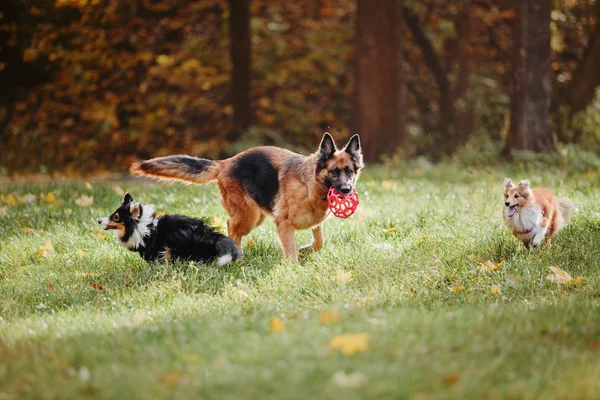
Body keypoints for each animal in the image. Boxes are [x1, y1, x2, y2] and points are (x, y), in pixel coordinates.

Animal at [131, 133, 364, 260]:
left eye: (349, 171)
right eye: (334, 172)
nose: (346, 190)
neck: (310, 184)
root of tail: (225, 162)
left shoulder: (315, 222)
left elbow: (319, 242)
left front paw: (307, 249)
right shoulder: (284, 224)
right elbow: (290, 252)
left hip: (257, 215)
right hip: (249, 216)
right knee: (231, 226)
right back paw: (236, 255)